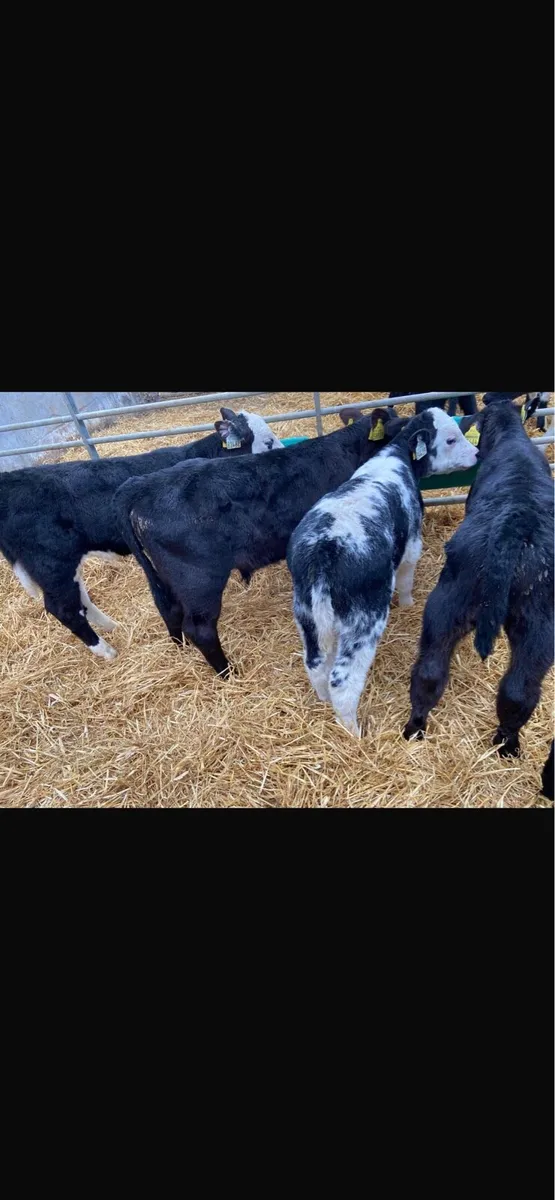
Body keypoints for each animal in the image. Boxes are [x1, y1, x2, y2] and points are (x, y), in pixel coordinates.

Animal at [0, 409, 283, 660]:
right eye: (268, 441)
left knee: (80, 600)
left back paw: (112, 627)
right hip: (52, 564)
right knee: (64, 609)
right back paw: (107, 651)